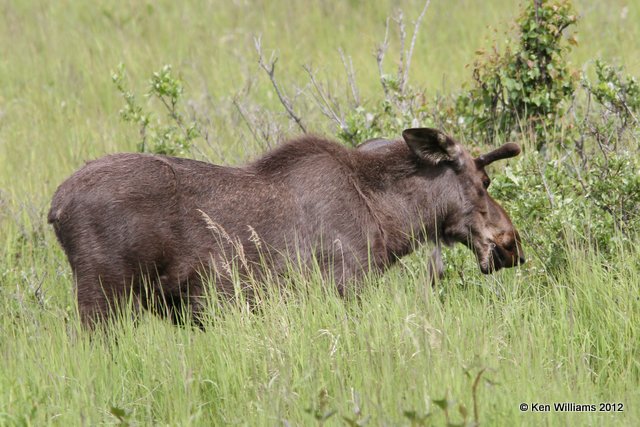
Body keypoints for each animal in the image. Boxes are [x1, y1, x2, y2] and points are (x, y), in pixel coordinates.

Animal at [47, 128, 524, 328]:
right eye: (485, 181)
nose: (511, 244)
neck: (389, 220)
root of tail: (55, 209)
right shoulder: (345, 283)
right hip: (103, 297)